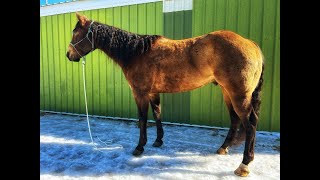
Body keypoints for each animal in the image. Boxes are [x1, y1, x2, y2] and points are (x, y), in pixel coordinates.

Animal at [66, 13, 264, 177]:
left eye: (76, 33)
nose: (68, 55)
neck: (136, 52)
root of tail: (252, 44)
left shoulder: (140, 93)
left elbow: (143, 119)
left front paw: (140, 147)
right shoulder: (153, 92)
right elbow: (157, 114)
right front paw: (158, 141)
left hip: (239, 95)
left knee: (250, 124)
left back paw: (244, 165)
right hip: (227, 92)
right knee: (235, 120)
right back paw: (223, 148)